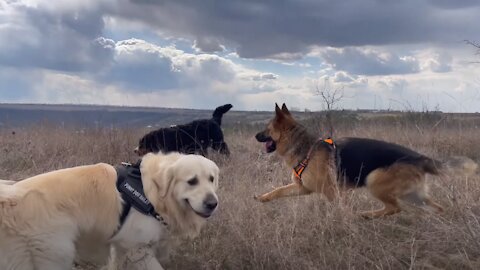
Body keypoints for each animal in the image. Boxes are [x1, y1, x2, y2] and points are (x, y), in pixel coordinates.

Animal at [0, 153, 220, 268]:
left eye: (211, 179)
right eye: (192, 181)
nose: (213, 203)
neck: (152, 193)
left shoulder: (121, 247)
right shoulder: (136, 247)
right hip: (54, 253)